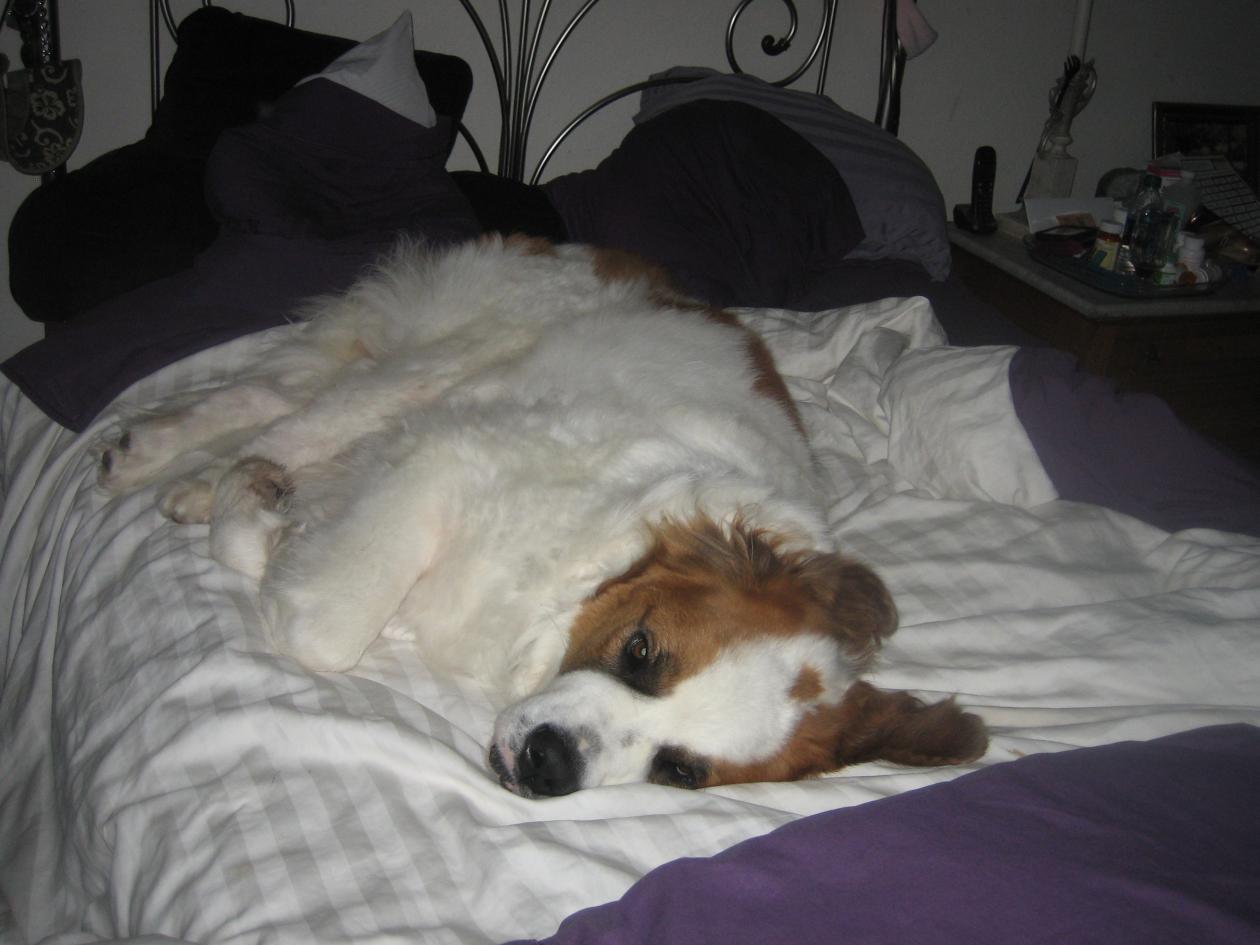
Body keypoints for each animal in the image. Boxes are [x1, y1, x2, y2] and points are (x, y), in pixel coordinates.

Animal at [97, 236, 986, 797]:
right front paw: (265, 515)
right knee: (283, 412)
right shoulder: (443, 458)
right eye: (639, 650)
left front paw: (281, 526)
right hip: (439, 364)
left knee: (276, 399)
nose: (548, 764)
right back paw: (181, 465)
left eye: (679, 771)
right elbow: (328, 624)